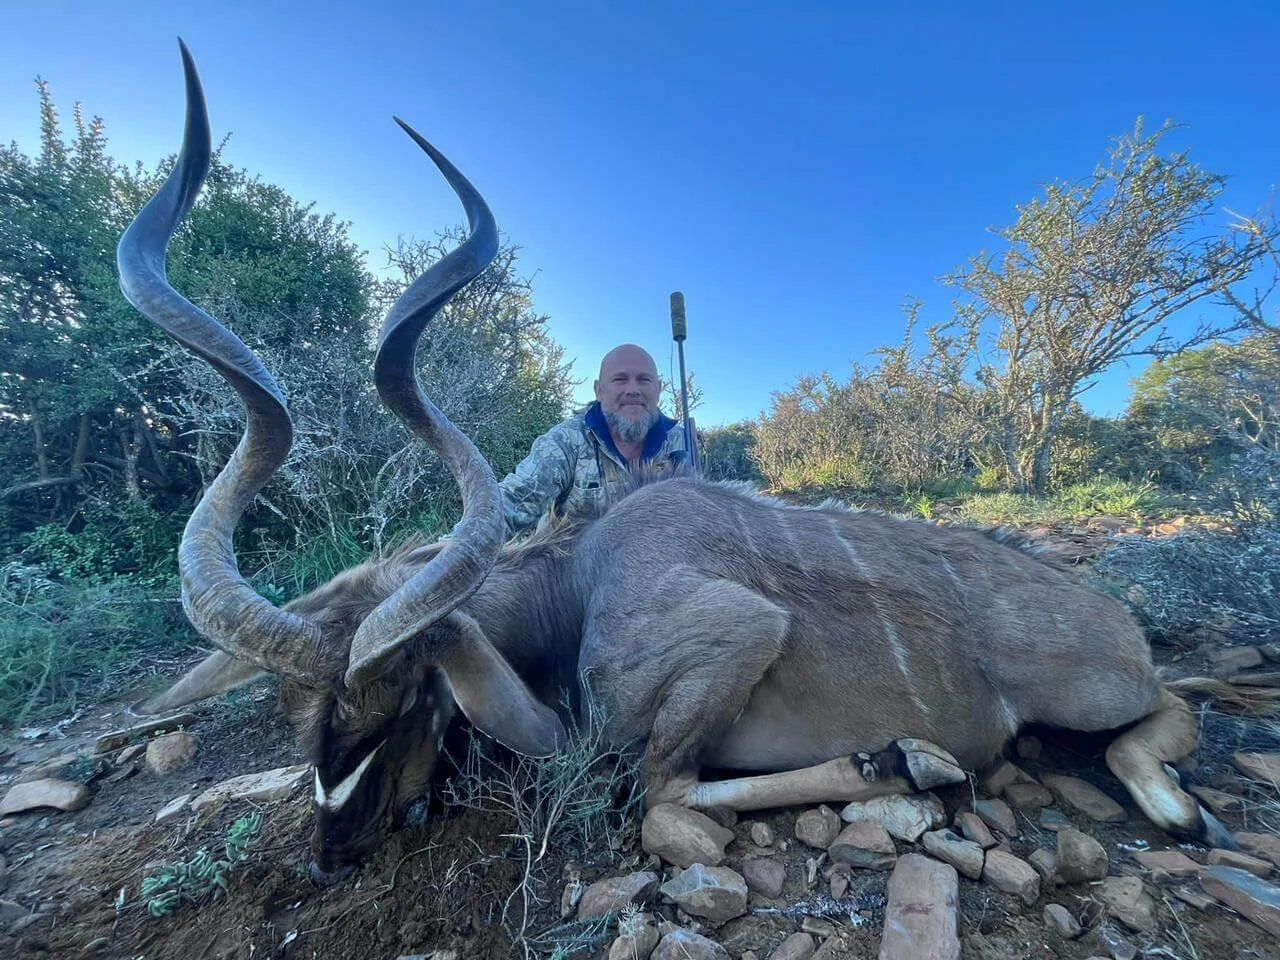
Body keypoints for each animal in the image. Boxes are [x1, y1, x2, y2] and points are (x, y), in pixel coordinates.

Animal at [124, 43, 1253, 881]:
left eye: (407, 701)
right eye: (292, 716)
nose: (331, 854)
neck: (575, 584)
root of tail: (1110, 615)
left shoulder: (731, 640)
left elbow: (659, 787)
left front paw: (901, 758)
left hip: (1090, 692)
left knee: (1164, 710)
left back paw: (1167, 807)